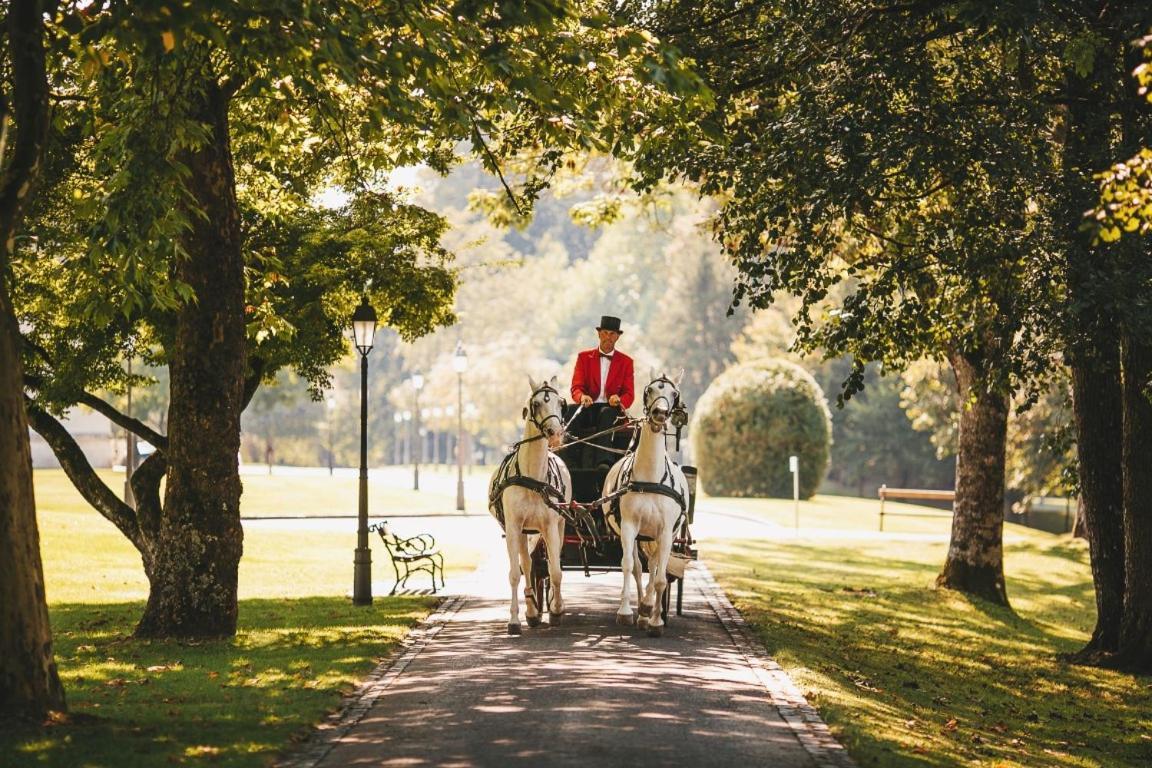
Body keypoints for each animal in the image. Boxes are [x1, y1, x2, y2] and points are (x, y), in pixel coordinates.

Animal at [488, 377, 573, 635]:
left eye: (561, 402)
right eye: (535, 404)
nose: (556, 433)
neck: (533, 479)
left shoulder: (550, 526)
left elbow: (556, 571)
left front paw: (557, 609)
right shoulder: (514, 528)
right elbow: (516, 573)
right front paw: (515, 619)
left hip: (559, 525)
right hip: (524, 531)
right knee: (526, 564)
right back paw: (532, 609)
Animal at [603, 370, 681, 635]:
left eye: (674, 394)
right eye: (649, 390)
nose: (659, 414)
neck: (650, 478)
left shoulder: (666, 533)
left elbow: (660, 578)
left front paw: (655, 620)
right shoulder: (629, 527)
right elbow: (628, 565)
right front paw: (626, 611)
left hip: (659, 536)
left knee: (656, 566)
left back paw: (648, 610)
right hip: (639, 535)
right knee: (638, 567)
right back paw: (640, 608)